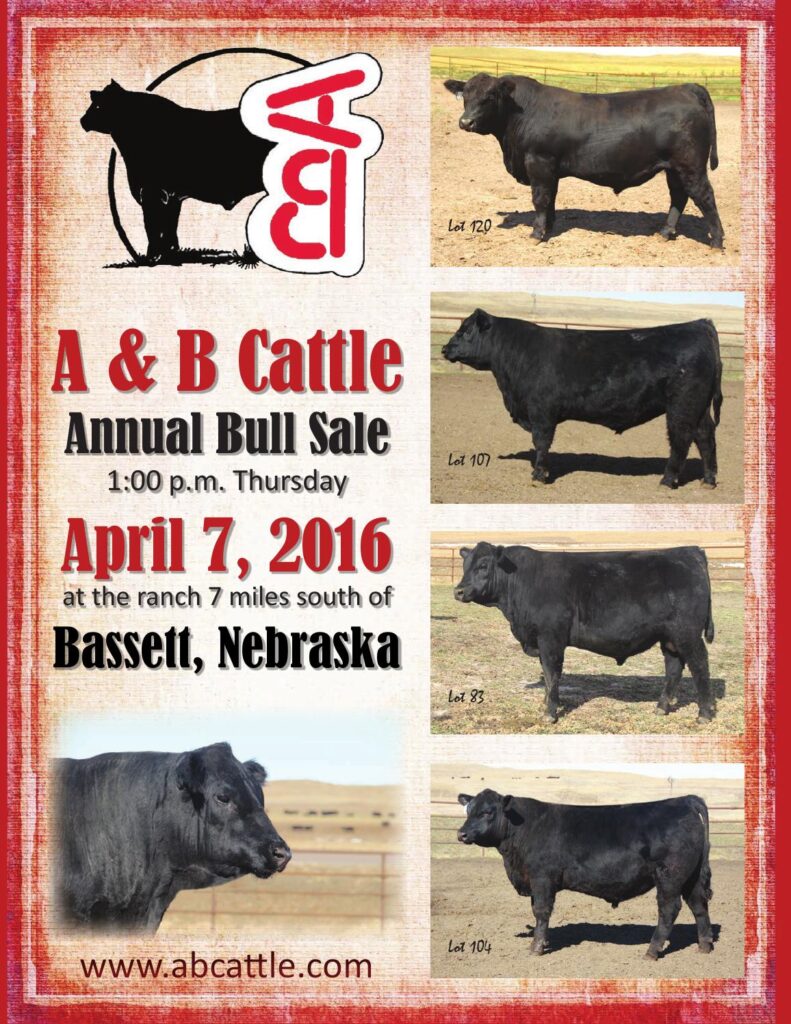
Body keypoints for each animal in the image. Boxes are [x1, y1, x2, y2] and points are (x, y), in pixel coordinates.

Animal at [81, 81, 276, 263]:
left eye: (98, 105)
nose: (82, 121)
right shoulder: (172, 197)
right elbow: (169, 228)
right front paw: (169, 255)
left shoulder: (152, 192)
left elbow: (153, 226)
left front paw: (152, 257)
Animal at [442, 309, 723, 489]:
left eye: (465, 331)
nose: (444, 349)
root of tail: (699, 324)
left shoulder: (541, 411)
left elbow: (541, 442)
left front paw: (539, 475)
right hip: (699, 408)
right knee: (705, 437)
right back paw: (708, 480)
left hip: (682, 406)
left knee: (681, 439)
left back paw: (667, 480)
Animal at [443, 74, 723, 248]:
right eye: (465, 95)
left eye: (490, 96)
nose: (465, 122)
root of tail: (686, 87)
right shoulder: (551, 168)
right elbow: (551, 198)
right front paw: (548, 227)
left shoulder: (539, 161)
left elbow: (540, 198)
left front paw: (536, 233)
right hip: (674, 169)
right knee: (679, 197)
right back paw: (665, 233)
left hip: (691, 166)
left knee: (705, 197)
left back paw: (717, 241)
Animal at [454, 542, 716, 723]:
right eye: (465, 566)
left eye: (483, 566)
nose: (458, 591)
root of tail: (691, 551)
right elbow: (547, 676)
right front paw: (545, 705)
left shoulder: (550, 638)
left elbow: (552, 674)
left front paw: (550, 713)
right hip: (669, 638)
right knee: (673, 669)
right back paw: (661, 708)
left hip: (688, 634)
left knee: (699, 666)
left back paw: (704, 713)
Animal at [457, 789, 714, 959]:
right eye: (468, 810)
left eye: (487, 812)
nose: (461, 834)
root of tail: (684, 800)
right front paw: (543, 940)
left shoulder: (542, 879)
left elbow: (541, 911)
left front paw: (536, 948)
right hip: (690, 878)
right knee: (699, 906)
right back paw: (704, 946)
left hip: (669, 877)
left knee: (669, 909)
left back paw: (651, 951)